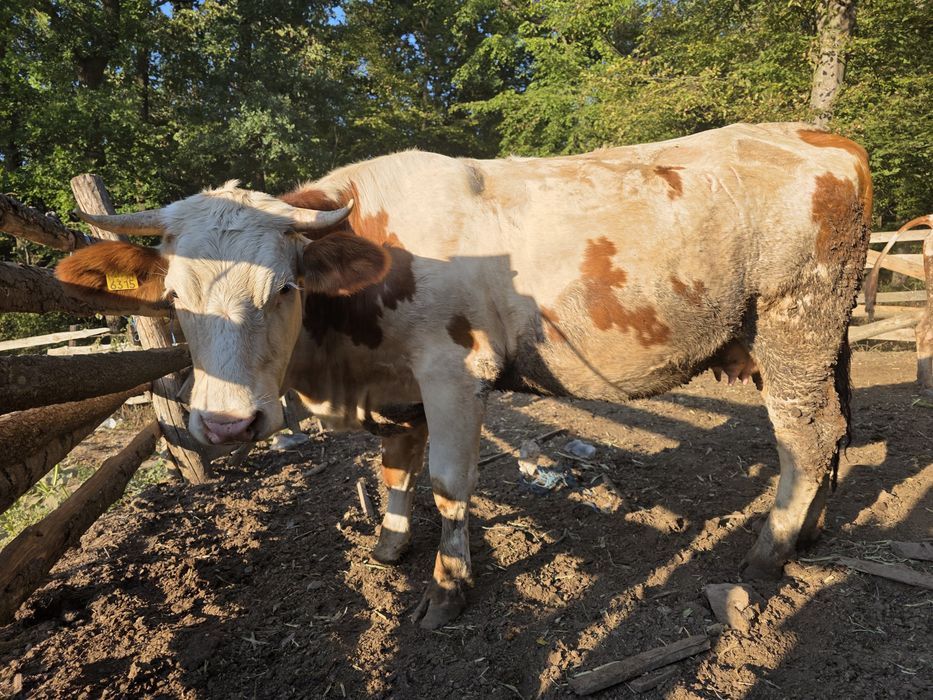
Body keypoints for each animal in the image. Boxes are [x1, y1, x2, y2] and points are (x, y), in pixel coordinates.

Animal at [56, 122, 871, 629]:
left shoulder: (452, 374)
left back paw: (770, 548)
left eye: (283, 289)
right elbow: (395, 468)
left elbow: (449, 482)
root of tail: (822, 138)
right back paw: (809, 531)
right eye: (174, 297)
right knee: (835, 428)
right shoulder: (397, 390)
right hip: (814, 340)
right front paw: (389, 547)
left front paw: (449, 589)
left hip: (795, 325)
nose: (227, 425)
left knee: (806, 435)